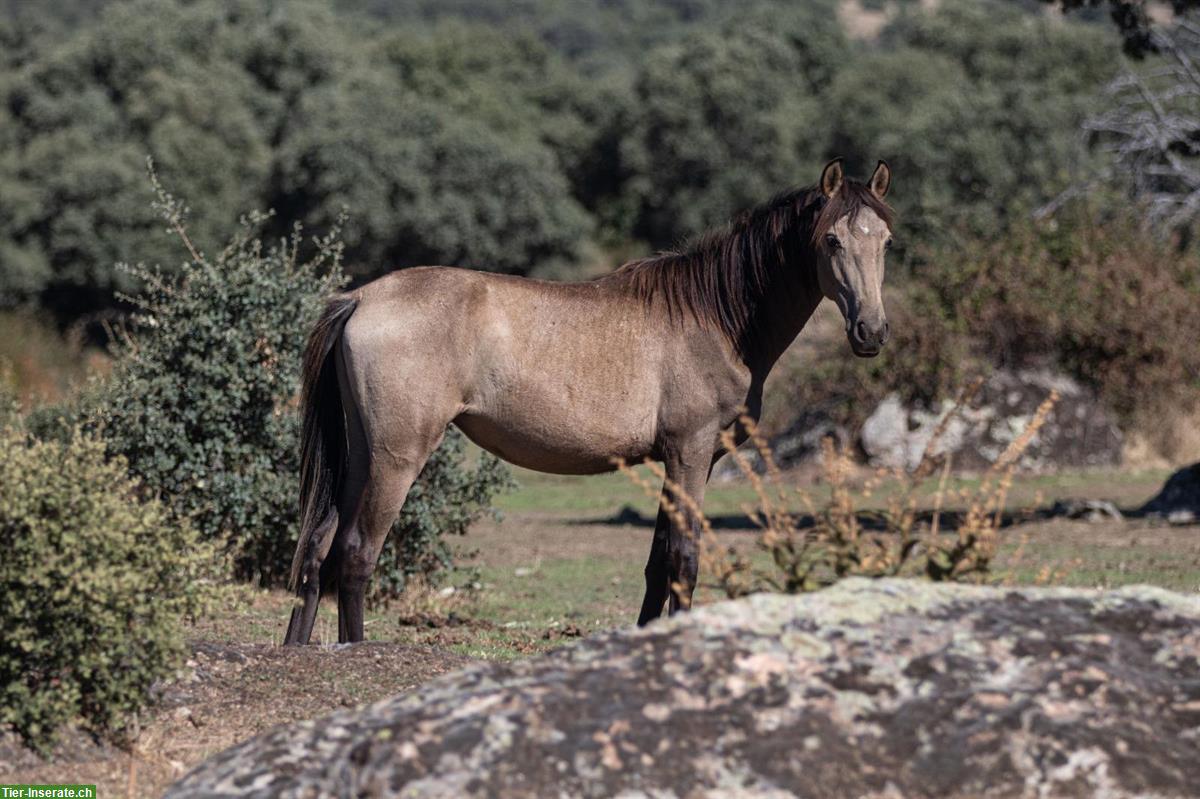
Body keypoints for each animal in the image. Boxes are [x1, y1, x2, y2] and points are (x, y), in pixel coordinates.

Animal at [285, 158, 897, 643]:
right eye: (832, 240)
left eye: (886, 241)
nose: (871, 332)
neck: (715, 316)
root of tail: (360, 299)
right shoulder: (691, 454)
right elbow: (684, 560)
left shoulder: (680, 462)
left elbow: (657, 564)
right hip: (396, 458)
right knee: (356, 554)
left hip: (360, 455)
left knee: (317, 548)